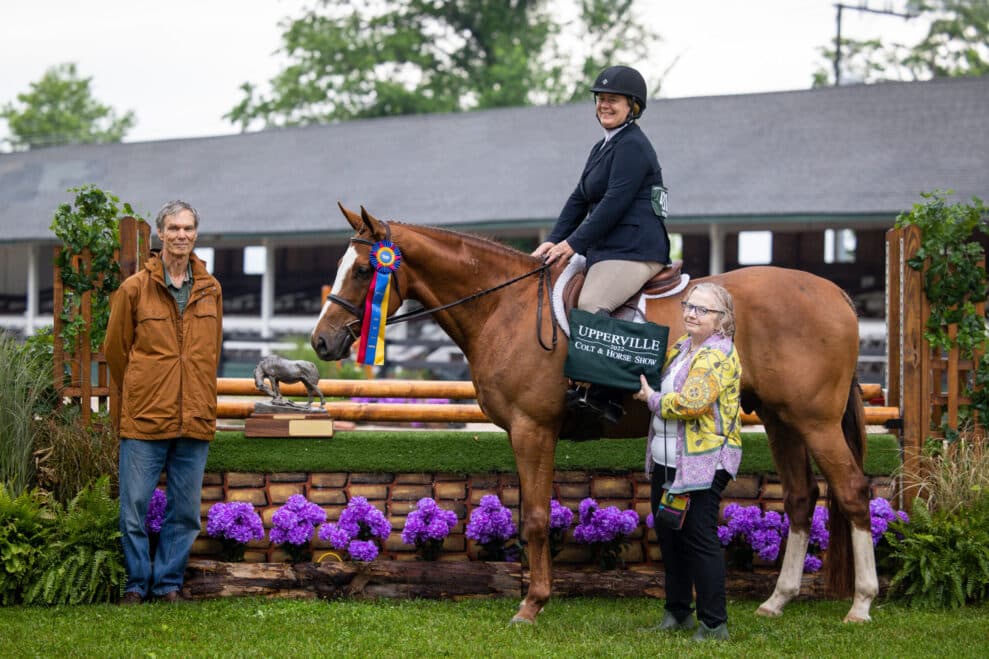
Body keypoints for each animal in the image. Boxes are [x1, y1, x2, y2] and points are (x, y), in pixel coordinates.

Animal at [312, 206, 876, 624]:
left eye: (365, 269)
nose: (321, 342)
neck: (506, 309)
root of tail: (835, 293)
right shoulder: (524, 433)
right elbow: (529, 514)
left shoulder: (533, 429)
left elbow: (536, 519)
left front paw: (532, 604)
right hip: (782, 419)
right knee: (801, 498)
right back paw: (776, 601)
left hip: (815, 421)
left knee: (852, 490)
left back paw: (862, 604)